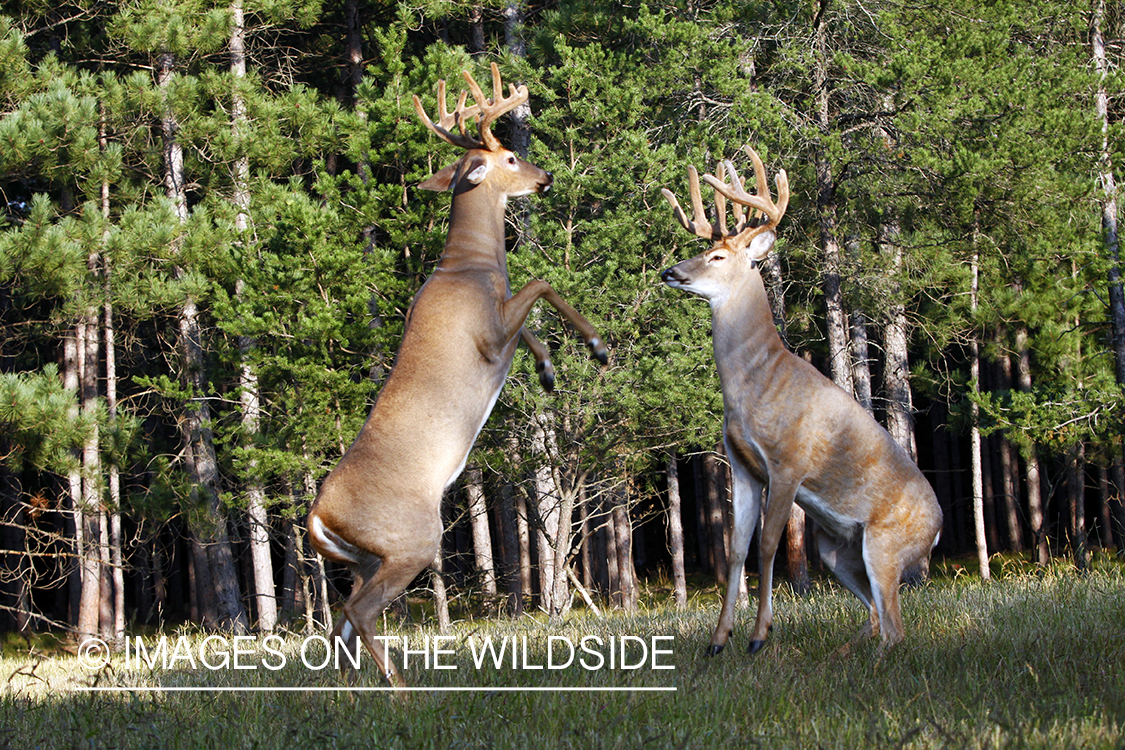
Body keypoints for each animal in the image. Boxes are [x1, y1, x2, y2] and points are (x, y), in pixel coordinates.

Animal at [308, 64, 607, 688]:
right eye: (511, 158)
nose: (545, 178)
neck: (470, 269)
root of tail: (317, 515)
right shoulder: (488, 335)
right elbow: (541, 284)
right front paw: (596, 346)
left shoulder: (501, 329)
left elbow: (531, 323)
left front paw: (548, 370)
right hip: (411, 541)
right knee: (357, 612)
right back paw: (402, 691)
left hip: (369, 557)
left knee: (342, 622)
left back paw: (352, 693)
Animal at [657, 146, 940, 656]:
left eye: (717, 255)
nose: (671, 272)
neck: (758, 382)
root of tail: (939, 530)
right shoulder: (742, 464)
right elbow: (736, 548)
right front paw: (718, 641)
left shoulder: (788, 462)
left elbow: (768, 545)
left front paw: (758, 636)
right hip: (835, 550)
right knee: (875, 618)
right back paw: (844, 653)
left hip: (886, 546)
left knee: (896, 628)